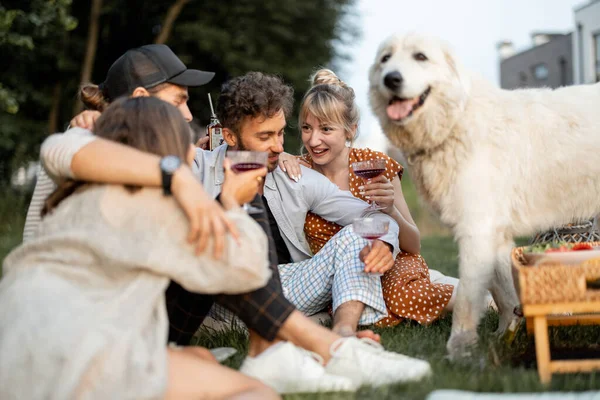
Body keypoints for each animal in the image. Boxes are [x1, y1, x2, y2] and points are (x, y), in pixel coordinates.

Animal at [368, 32, 596, 358]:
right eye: (385, 59)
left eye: (420, 57)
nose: (391, 78)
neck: (457, 121)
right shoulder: (495, 234)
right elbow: (503, 292)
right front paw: (502, 337)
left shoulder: (477, 228)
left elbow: (467, 295)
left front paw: (459, 350)